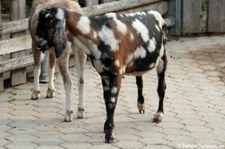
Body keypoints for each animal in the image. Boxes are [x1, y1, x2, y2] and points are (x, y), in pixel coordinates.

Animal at [36, 7, 168, 143]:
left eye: (49, 21)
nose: (38, 42)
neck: (97, 33)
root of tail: (156, 13)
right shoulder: (104, 74)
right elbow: (106, 99)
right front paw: (106, 127)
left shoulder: (116, 73)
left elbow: (111, 102)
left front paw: (110, 134)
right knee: (139, 81)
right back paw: (141, 105)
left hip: (162, 58)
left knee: (161, 87)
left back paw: (159, 114)